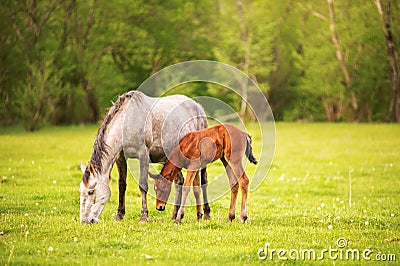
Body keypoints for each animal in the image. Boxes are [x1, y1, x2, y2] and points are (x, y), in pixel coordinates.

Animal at [78, 90, 209, 223]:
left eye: (90, 192)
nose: (85, 220)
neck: (128, 120)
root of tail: (198, 107)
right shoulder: (121, 158)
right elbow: (121, 185)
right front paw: (119, 215)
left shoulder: (143, 155)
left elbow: (143, 185)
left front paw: (144, 216)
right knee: (179, 182)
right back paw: (175, 215)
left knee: (203, 181)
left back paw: (206, 214)